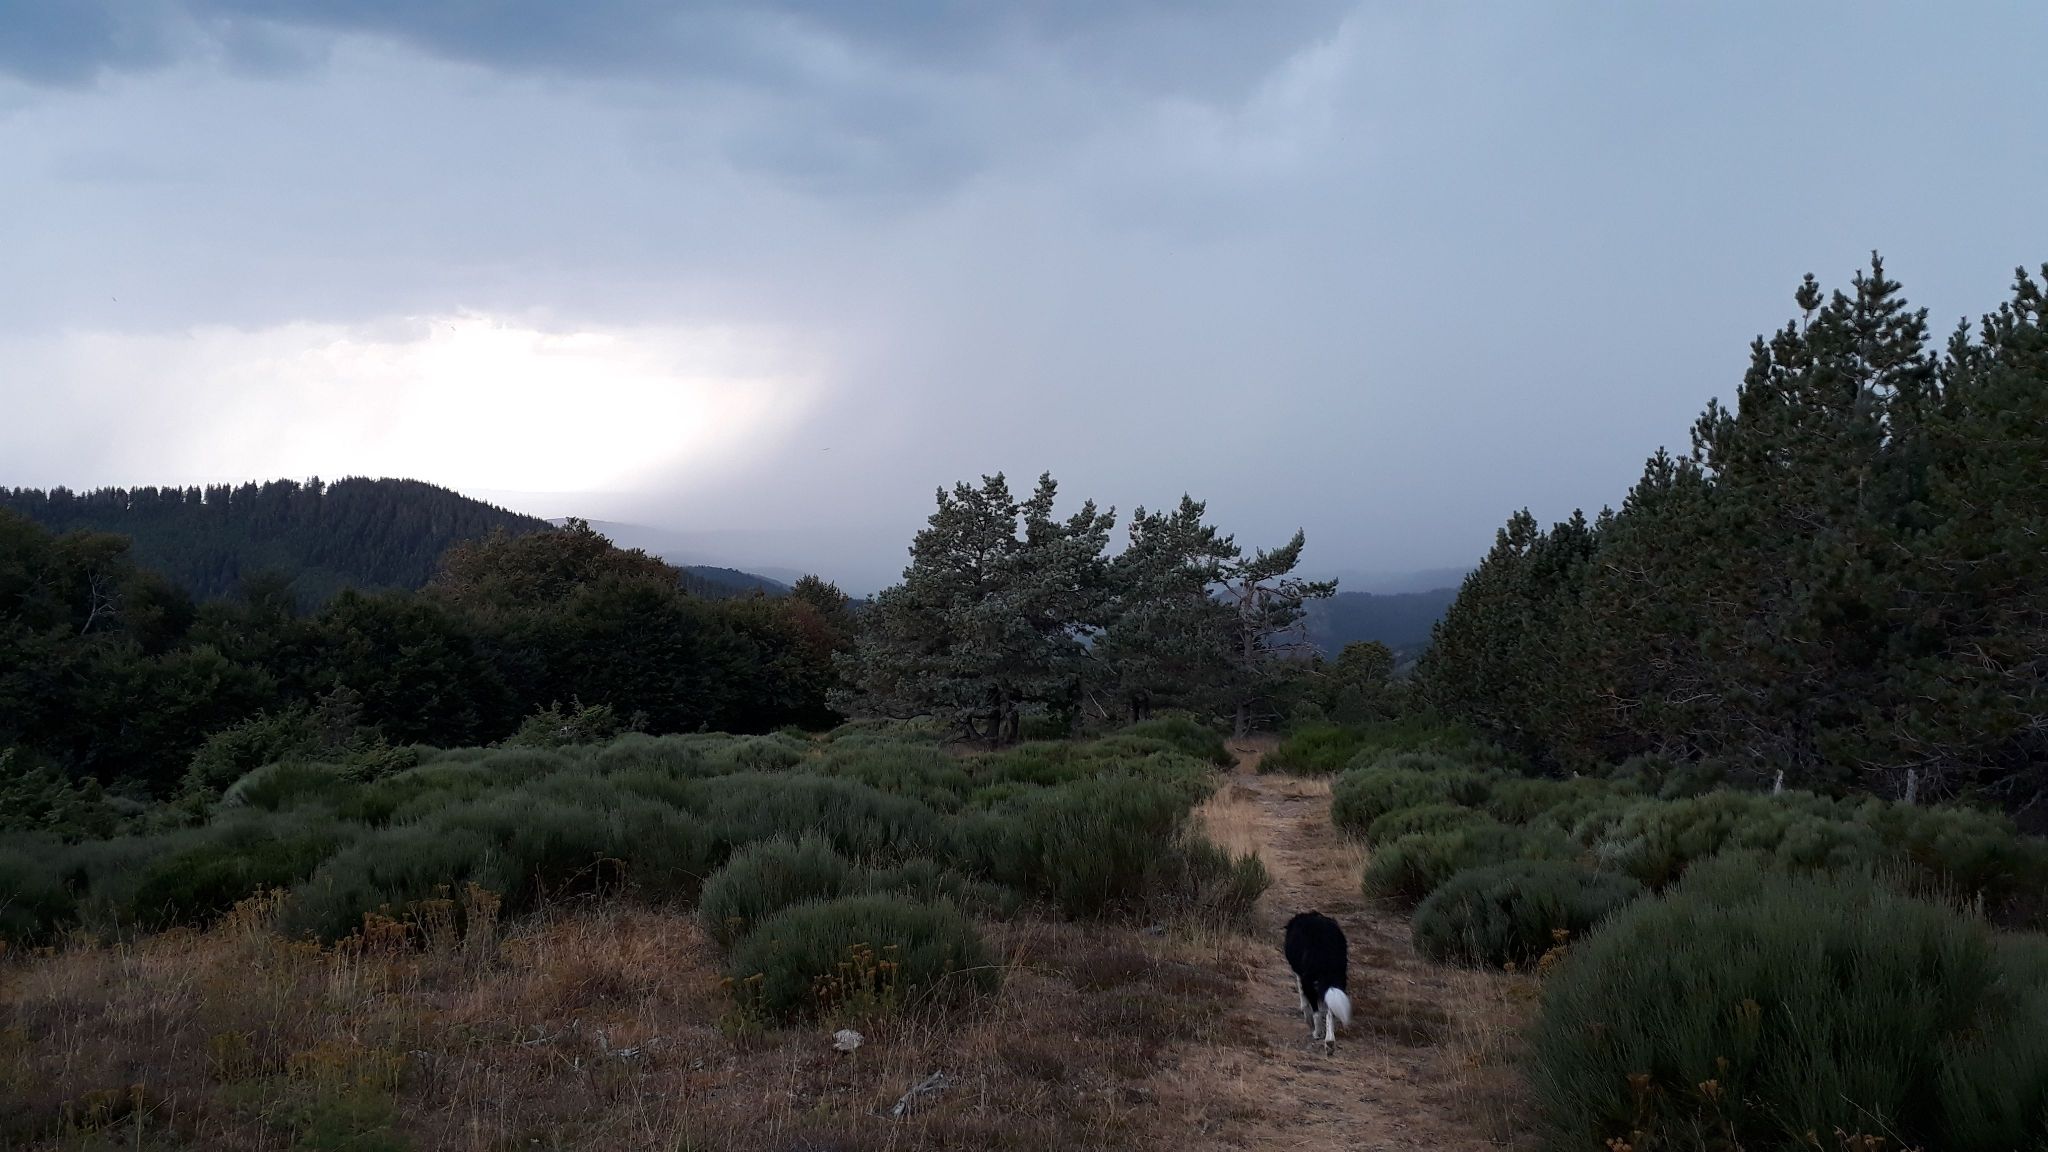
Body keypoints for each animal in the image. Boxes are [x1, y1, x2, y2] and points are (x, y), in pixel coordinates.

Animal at [1284, 910, 1353, 1053]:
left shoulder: (1300, 975)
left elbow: (1303, 995)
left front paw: (1305, 1013)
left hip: (1309, 979)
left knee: (1316, 1009)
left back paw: (1317, 1032)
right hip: (1339, 978)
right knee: (1330, 1012)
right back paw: (1329, 1041)